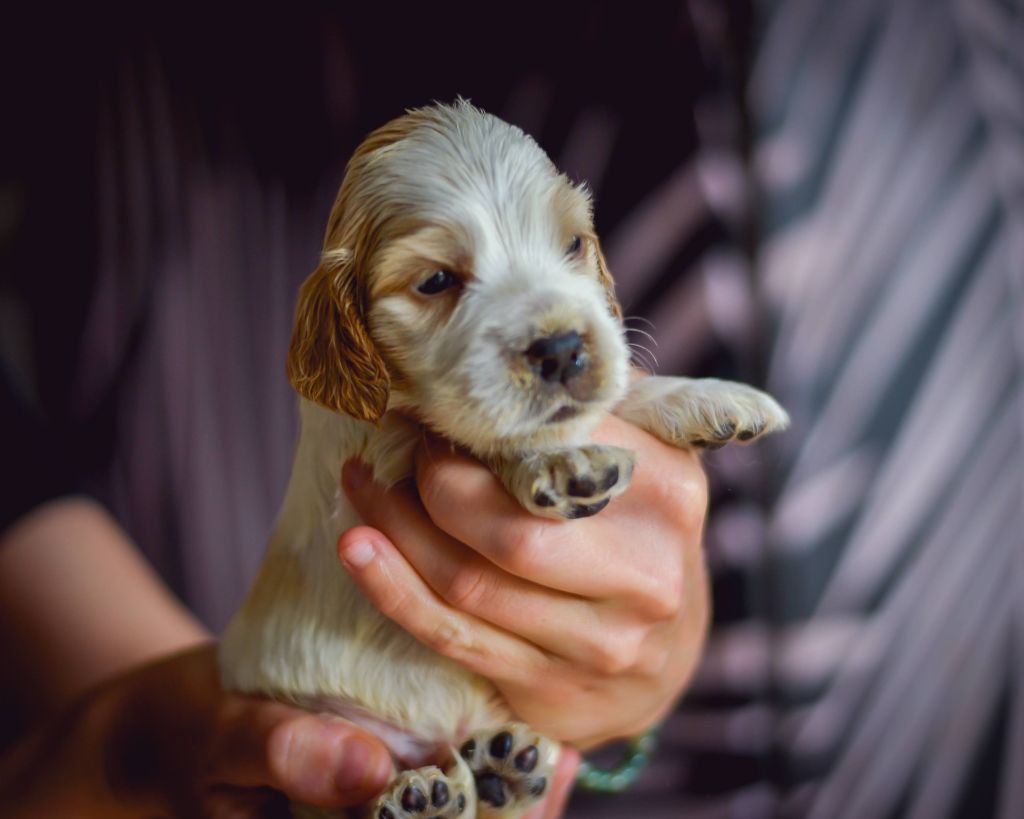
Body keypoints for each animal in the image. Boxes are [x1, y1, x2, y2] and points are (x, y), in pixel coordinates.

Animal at [219, 100, 788, 819]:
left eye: (573, 244)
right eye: (436, 280)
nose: (564, 349)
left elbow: (616, 393)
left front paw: (712, 399)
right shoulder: (373, 450)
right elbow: (473, 432)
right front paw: (556, 463)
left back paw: (500, 771)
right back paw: (421, 795)